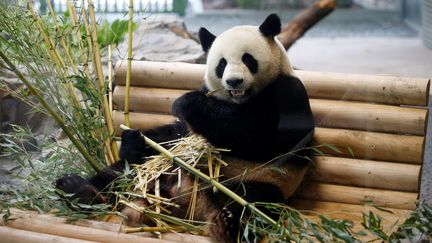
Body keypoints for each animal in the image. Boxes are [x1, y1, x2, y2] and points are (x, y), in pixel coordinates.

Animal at [56, 13, 314, 243]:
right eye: (222, 64)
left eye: (248, 59)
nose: (234, 81)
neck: (240, 100)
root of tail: (189, 203)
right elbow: (175, 134)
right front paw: (133, 140)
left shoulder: (288, 92)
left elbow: (264, 140)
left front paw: (187, 103)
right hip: (154, 172)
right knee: (117, 174)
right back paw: (77, 189)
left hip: (256, 182)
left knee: (255, 203)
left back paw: (227, 224)